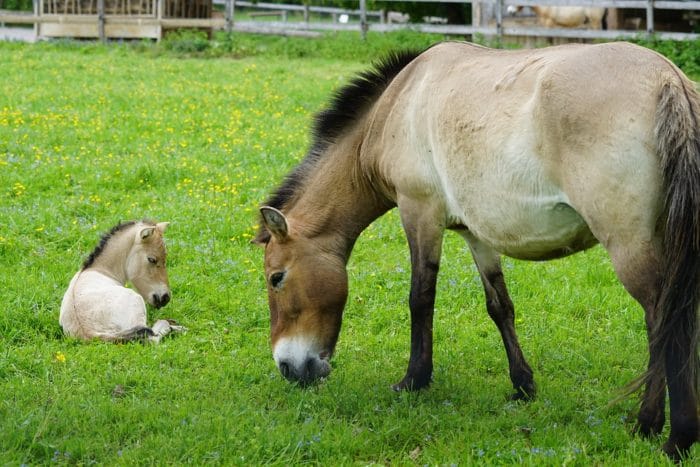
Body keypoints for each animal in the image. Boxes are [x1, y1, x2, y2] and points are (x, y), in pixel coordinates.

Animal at [256, 42, 700, 458]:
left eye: (276, 278)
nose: (288, 367)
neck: (398, 104)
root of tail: (668, 79)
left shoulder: (419, 213)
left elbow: (420, 298)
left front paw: (414, 380)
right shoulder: (475, 234)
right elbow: (499, 306)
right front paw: (522, 385)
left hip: (629, 246)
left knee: (663, 324)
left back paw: (664, 432)